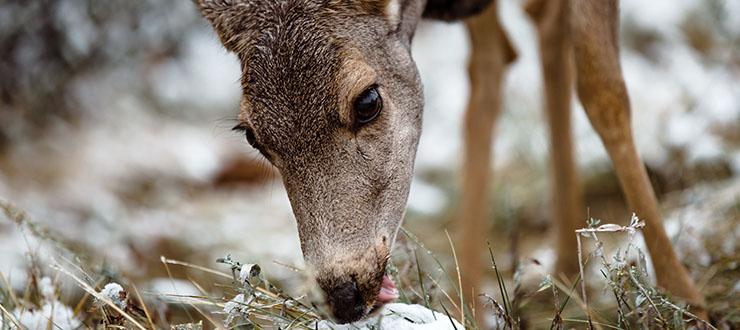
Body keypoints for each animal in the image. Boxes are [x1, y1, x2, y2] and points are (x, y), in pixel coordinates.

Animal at [195, 0, 704, 324]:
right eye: (253, 136)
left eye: (367, 101)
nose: (342, 295)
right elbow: (488, 71)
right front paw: (467, 309)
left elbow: (603, 90)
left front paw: (687, 302)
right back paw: (562, 269)